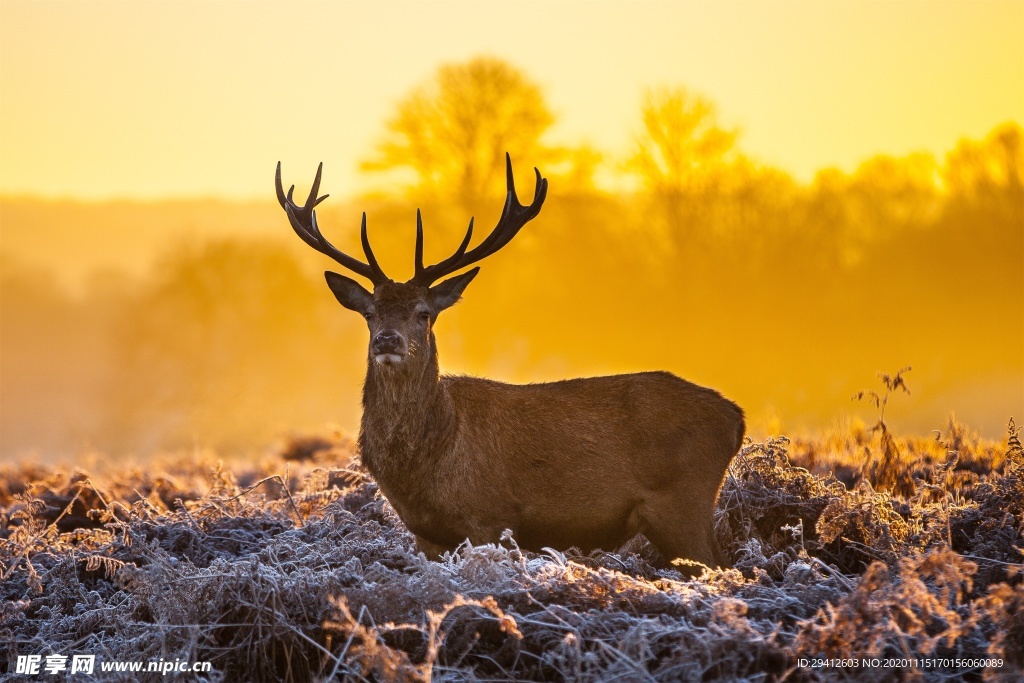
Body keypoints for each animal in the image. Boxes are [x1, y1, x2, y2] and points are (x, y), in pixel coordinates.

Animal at [276, 154, 745, 565]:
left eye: (423, 313)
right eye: (370, 314)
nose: (387, 341)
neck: (427, 465)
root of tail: (735, 416)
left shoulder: (489, 517)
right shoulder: (426, 535)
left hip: (682, 503)